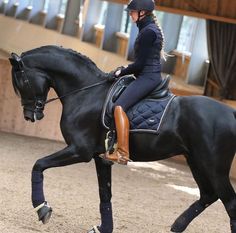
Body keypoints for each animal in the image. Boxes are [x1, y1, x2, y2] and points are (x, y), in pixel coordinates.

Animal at [9, 45, 236, 233]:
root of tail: (231, 112)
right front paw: (104, 228)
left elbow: (38, 165)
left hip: (214, 167)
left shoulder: (80, 151)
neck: (87, 93)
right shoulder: (100, 157)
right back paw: (177, 226)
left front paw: (42, 208)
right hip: (196, 161)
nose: (30, 116)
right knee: (208, 195)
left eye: (22, 82)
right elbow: (105, 194)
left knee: (229, 202)